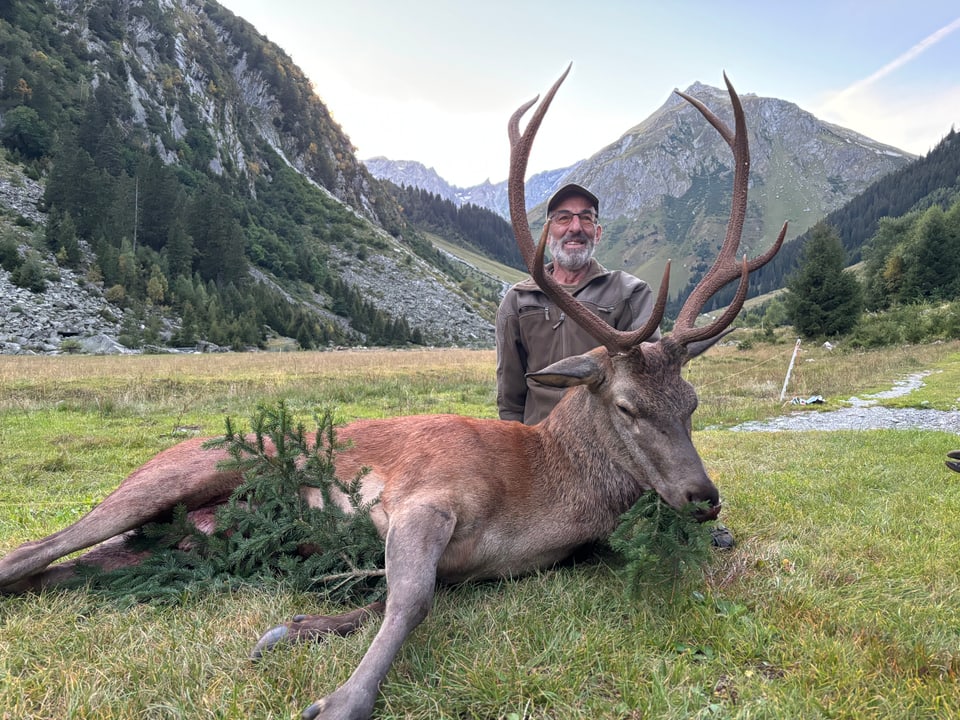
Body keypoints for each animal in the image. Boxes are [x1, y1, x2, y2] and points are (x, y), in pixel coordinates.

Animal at [0, 69, 780, 720]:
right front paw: (340, 699)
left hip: (167, 540)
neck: (539, 501)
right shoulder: (424, 495)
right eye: (625, 406)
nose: (703, 496)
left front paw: (295, 628)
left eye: (693, 403)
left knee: (68, 568)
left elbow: (380, 599)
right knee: (35, 547)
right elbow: (409, 599)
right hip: (177, 471)